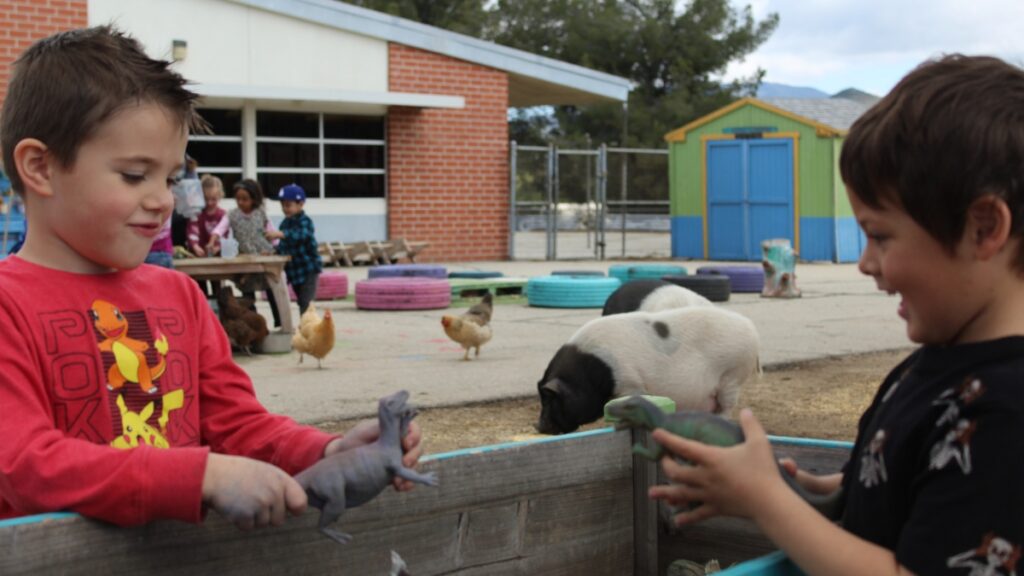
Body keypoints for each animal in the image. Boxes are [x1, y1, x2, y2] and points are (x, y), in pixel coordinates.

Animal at [536, 305, 761, 430]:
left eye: (549, 398)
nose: (538, 426)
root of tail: (751, 327)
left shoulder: (629, 383)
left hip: (732, 375)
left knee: (726, 407)